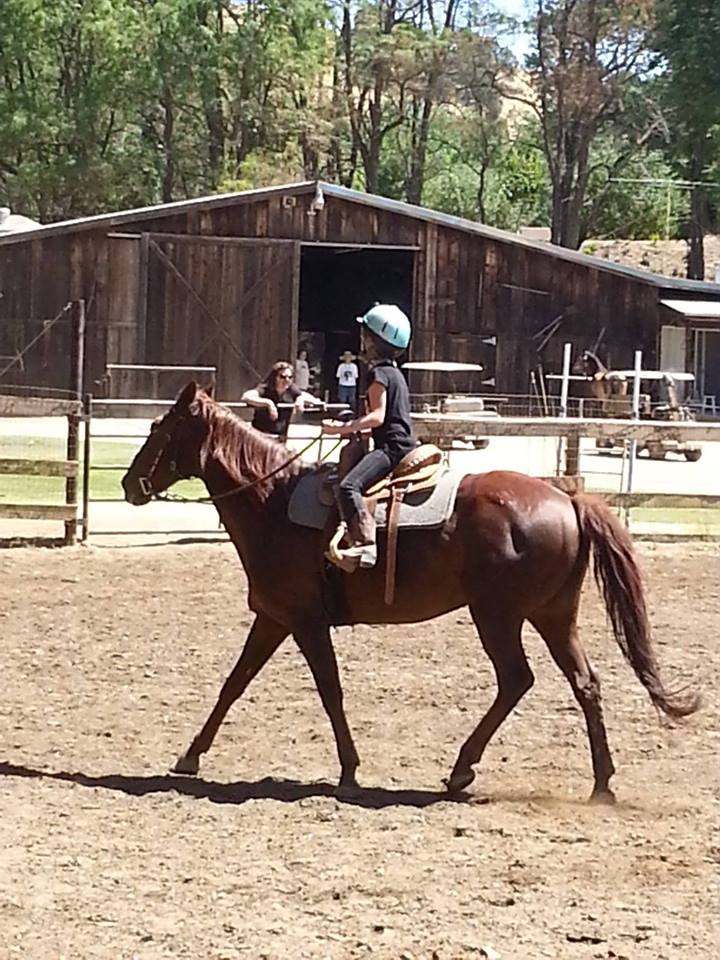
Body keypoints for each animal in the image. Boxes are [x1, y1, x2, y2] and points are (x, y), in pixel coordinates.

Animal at [120, 382, 698, 802]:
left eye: (160, 428)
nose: (128, 485)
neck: (273, 503)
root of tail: (568, 498)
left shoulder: (304, 623)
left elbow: (329, 692)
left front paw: (349, 770)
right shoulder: (274, 619)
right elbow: (233, 684)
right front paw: (190, 756)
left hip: (499, 616)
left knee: (517, 680)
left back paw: (462, 770)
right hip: (555, 615)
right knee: (585, 684)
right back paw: (601, 785)